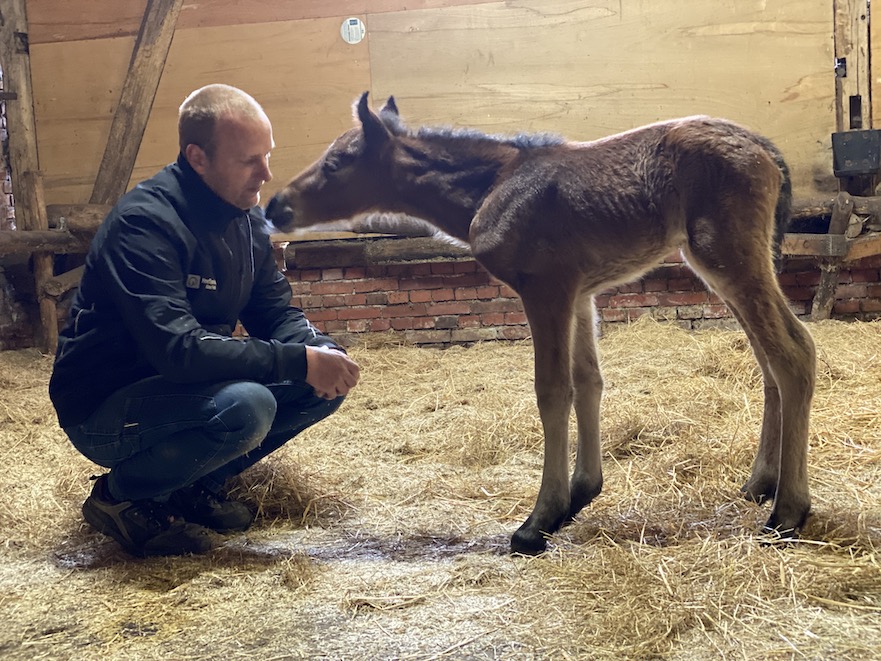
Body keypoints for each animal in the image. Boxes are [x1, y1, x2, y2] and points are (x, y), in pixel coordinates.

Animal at [264, 93, 816, 556]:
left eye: (336, 162)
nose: (274, 205)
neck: (492, 185)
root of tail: (764, 147)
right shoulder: (581, 293)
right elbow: (589, 381)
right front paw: (581, 493)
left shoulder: (546, 288)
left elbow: (553, 390)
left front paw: (539, 519)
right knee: (768, 361)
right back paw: (760, 483)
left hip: (726, 257)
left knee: (793, 352)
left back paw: (788, 512)